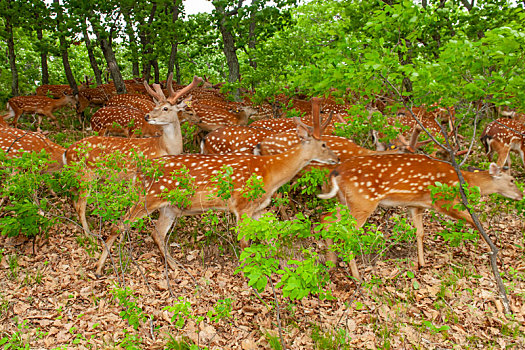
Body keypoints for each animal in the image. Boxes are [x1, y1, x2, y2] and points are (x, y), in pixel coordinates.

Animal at [64, 74, 203, 235]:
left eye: (165, 108)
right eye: (155, 106)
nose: (147, 116)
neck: (163, 147)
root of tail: (67, 151)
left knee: (73, 197)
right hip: (86, 174)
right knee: (80, 205)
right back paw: (90, 235)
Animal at [93, 97, 340, 274]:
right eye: (324, 144)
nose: (337, 158)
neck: (271, 173)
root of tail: (141, 170)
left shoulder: (258, 208)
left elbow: (271, 236)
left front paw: (283, 266)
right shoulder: (241, 205)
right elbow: (244, 242)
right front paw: (248, 275)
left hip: (169, 207)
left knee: (156, 233)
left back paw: (174, 267)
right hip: (148, 196)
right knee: (120, 224)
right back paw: (99, 268)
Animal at [318, 154, 520, 280]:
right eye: (512, 180)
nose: (520, 195)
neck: (462, 181)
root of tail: (334, 173)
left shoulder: (416, 205)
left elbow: (420, 232)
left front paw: (422, 264)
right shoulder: (443, 200)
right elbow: (475, 221)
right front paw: (492, 250)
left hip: (345, 201)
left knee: (326, 219)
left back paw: (331, 263)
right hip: (363, 201)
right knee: (346, 232)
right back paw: (356, 275)